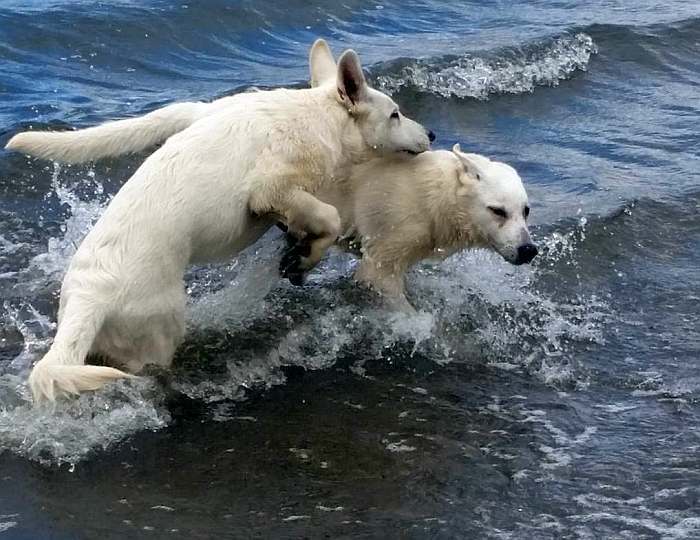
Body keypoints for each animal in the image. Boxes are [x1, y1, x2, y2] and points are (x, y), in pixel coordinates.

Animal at [5, 39, 432, 400]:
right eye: (395, 114)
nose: (431, 133)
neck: (321, 116)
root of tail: (88, 299)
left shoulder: (196, 112)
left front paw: (298, 247)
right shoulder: (268, 187)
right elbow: (328, 216)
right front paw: (305, 255)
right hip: (159, 330)